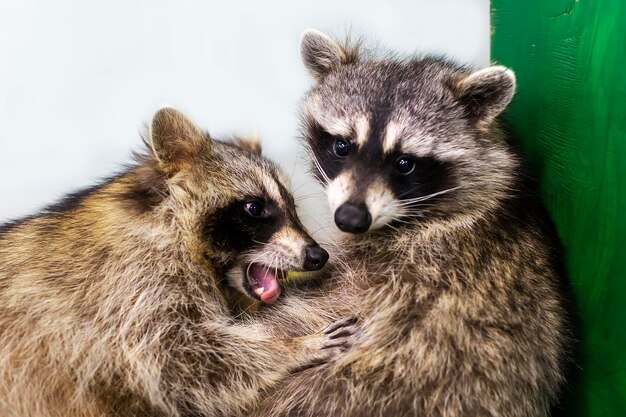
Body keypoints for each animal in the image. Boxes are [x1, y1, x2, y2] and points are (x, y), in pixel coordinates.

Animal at [0, 105, 356, 416]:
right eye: (255, 208)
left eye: (292, 206)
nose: (317, 255)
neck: (172, 223)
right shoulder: (130, 280)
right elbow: (176, 355)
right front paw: (292, 348)